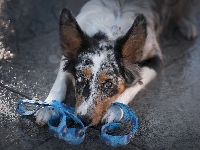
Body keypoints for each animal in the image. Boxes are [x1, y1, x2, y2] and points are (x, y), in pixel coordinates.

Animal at [35, 0, 198, 126]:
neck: (111, 32)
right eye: (80, 79)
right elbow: (59, 83)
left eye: (108, 84)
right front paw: (49, 106)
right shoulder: (68, 57)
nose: (82, 120)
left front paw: (115, 109)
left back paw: (186, 25)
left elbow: (135, 85)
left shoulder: (156, 60)